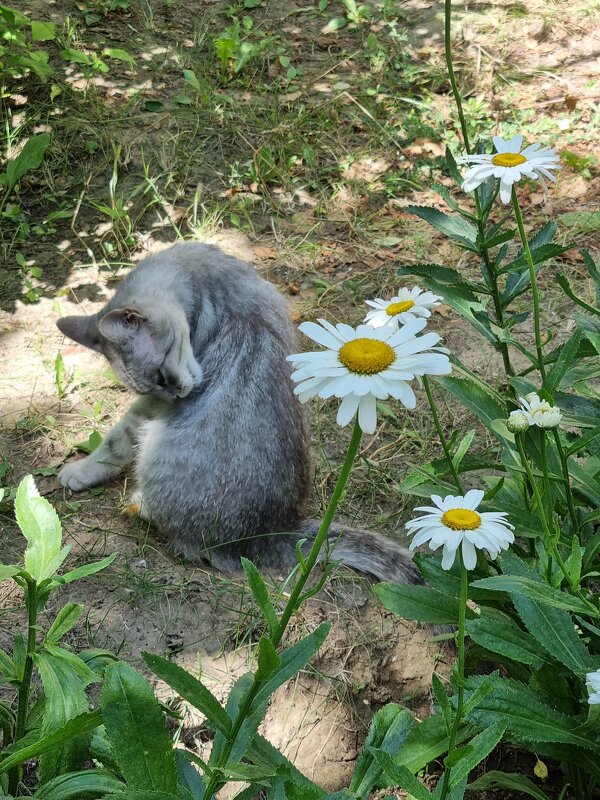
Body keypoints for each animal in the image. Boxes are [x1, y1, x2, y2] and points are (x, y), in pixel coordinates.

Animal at [58, 241, 420, 584]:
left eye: (160, 376)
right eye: (153, 384)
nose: (179, 393)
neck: (203, 275)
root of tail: (273, 531)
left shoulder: (155, 407)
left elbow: (117, 438)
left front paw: (81, 470)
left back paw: (139, 505)